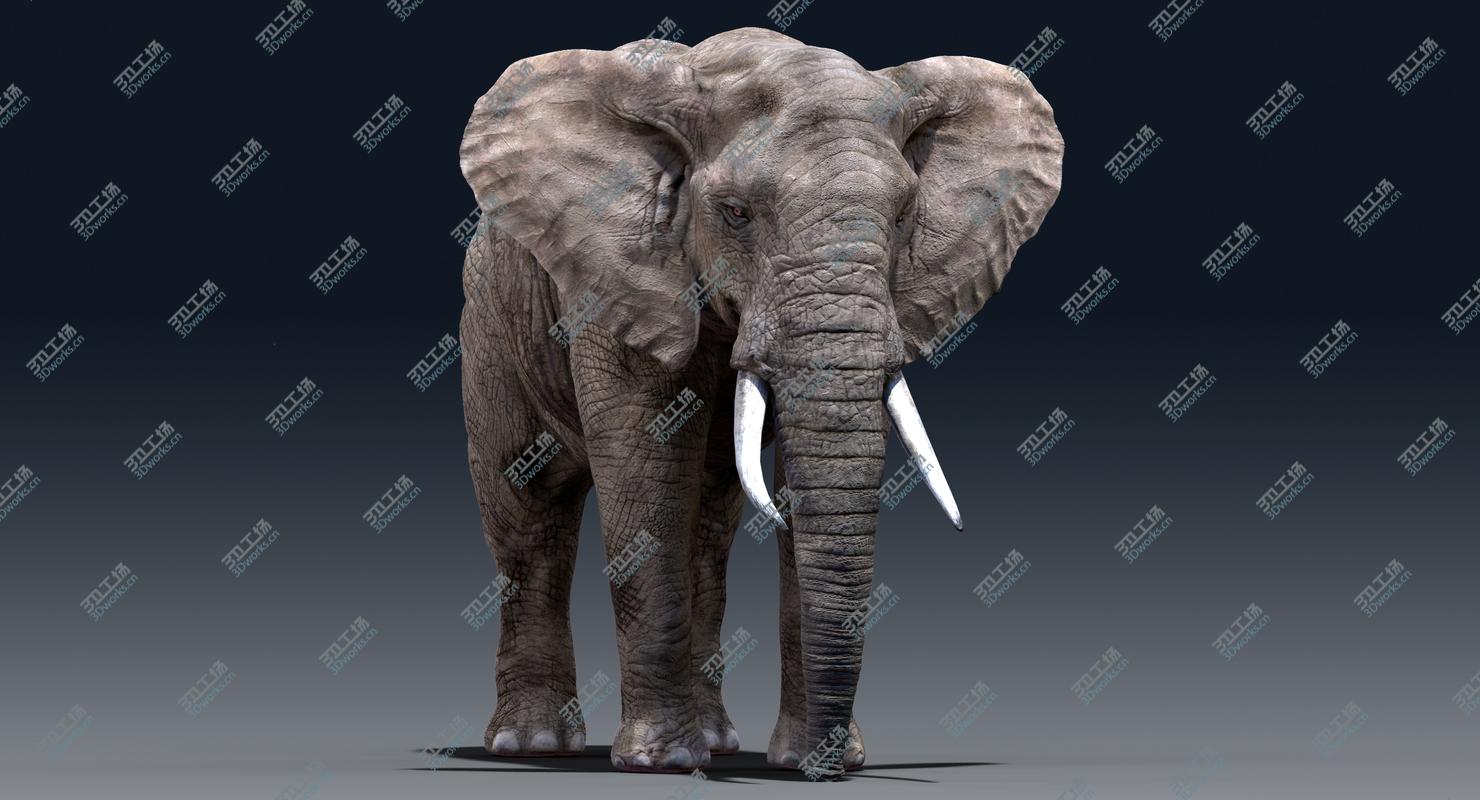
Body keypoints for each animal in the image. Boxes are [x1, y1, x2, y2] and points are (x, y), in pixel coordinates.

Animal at [456, 27, 1062, 778]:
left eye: (902, 216)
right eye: (737, 214)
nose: (829, 771)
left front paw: (810, 758)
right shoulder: (615, 277)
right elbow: (644, 471)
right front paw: (659, 763)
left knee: (709, 528)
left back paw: (717, 743)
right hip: (489, 318)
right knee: (527, 513)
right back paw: (533, 745)